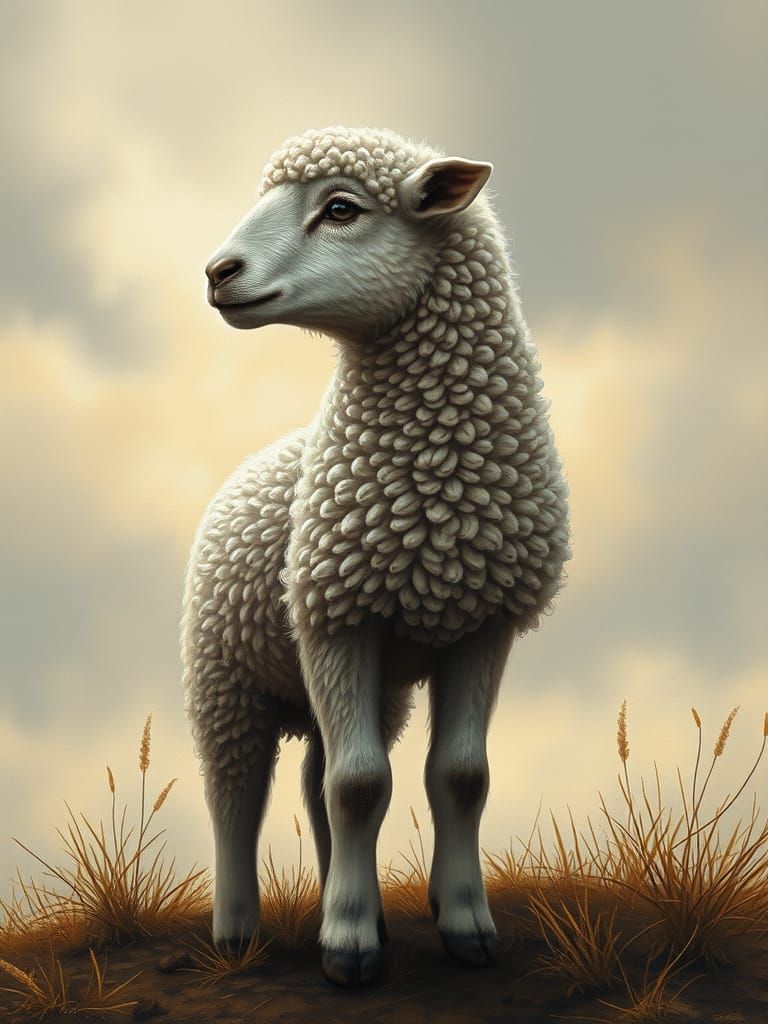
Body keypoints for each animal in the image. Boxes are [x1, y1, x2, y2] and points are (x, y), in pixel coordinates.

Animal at [182, 125, 571, 987]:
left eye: (341, 208)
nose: (218, 272)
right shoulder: (336, 619)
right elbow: (360, 786)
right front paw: (349, 948)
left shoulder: (485, 623)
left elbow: (456, 777)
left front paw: (466, 926)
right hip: (226, 680)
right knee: (236, 794)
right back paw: (236, 932)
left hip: (362, 682)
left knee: (313, 779)